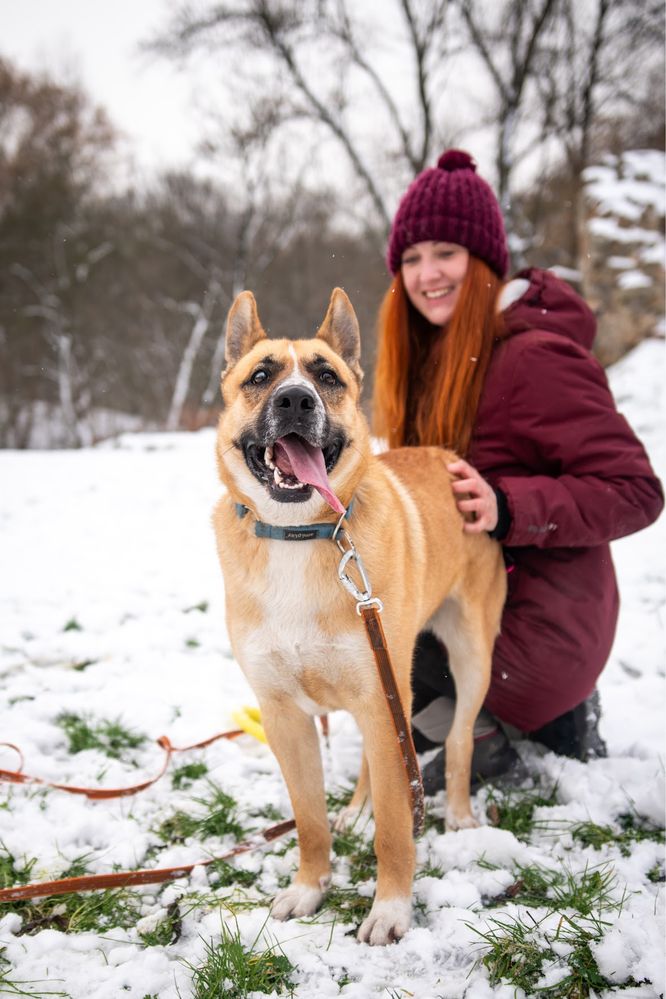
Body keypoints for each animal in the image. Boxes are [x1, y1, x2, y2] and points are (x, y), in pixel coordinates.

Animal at [211, 288, 504, 944]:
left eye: (327, 376)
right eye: (261, 376)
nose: (296, 400)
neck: (299, 534)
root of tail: (450, 458)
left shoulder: (377, 695)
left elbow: (396, 830)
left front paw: (391, 909)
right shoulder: (286, 716)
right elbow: (309, 821)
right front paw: (308, 887)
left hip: (464, 657)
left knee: (457, 744)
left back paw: (461, 817)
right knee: (380, 761)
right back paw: (357, 809)